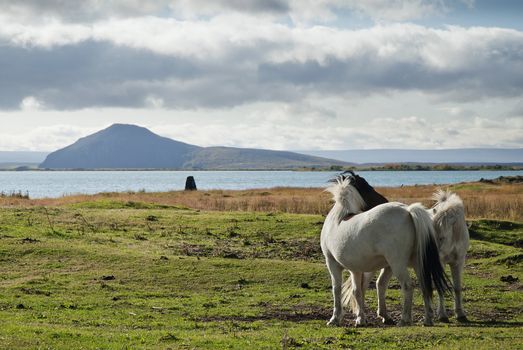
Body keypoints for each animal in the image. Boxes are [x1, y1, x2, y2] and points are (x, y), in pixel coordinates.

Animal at [322, 176, 452, 326]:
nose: (383, 199)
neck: (338, 219)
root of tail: (408, 210)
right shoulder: (356, 269)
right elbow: (359, 290)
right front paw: (362, 318)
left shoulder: (332, 263)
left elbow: (337, 288)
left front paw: (335, 318)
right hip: (416, 263)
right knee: (424, 285)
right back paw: (427, 320)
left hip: (397, 265)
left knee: (408, 286)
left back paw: (404, 319)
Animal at [344, 190, 470, 324]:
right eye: (433, 235)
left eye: (441, 237)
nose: (430, 255)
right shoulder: (440, 264)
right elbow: (439, 286)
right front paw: (442, 315)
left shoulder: (458, 262)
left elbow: (457, 287)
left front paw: (460, 314)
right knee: (363, 286)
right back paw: (361, 315)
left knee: (377, 284)